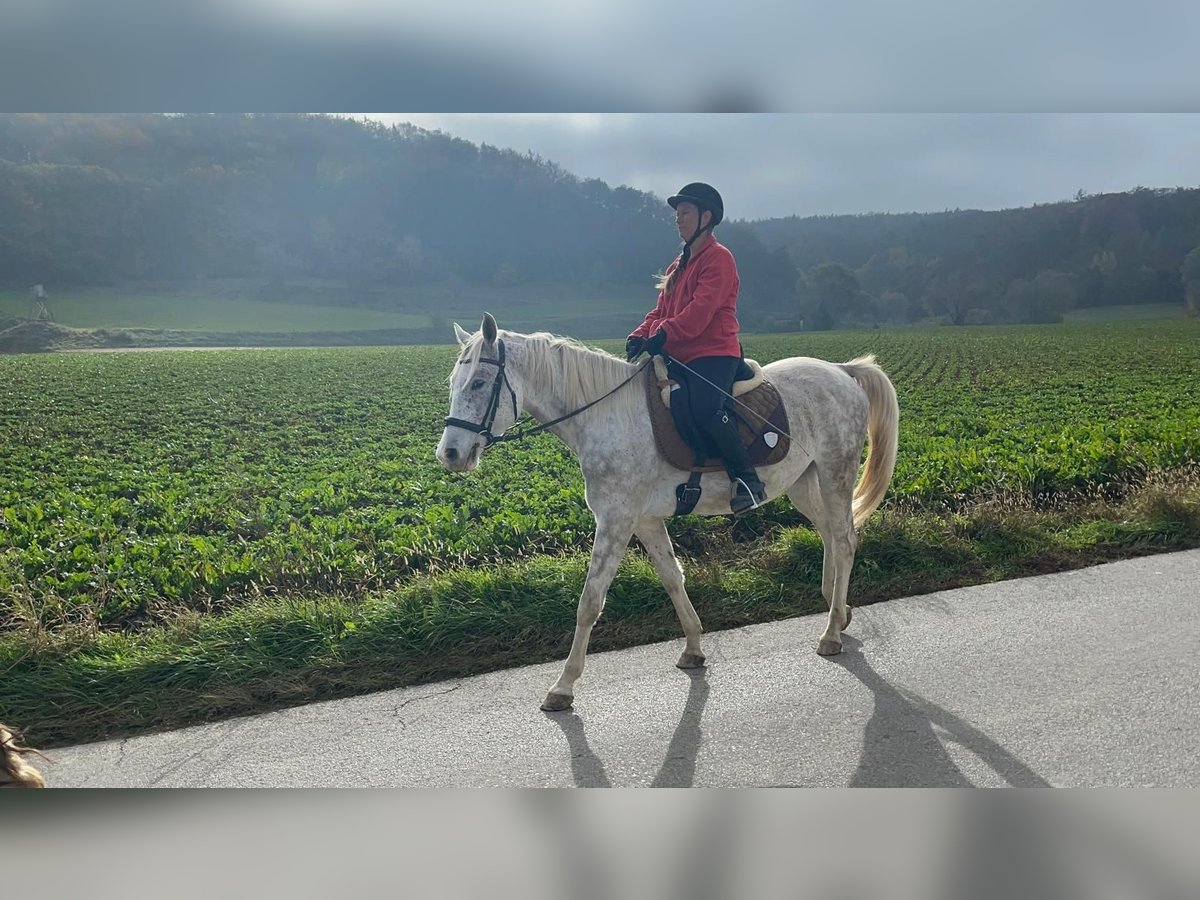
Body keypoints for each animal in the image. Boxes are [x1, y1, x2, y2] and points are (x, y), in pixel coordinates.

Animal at [436, 314, 897, 715]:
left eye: (479, 382)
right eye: (453, 383)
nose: (450, 454)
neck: (606, 417)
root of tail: (841, 371)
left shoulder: (616, 521)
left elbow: (590, 601)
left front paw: (563, 686)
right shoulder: (645, 521)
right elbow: (673, 578)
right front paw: (693, 647)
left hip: (836, 472)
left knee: (844, 539)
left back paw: (831, 632)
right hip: (803, 482)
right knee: (831, 534)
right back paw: (839, 610)